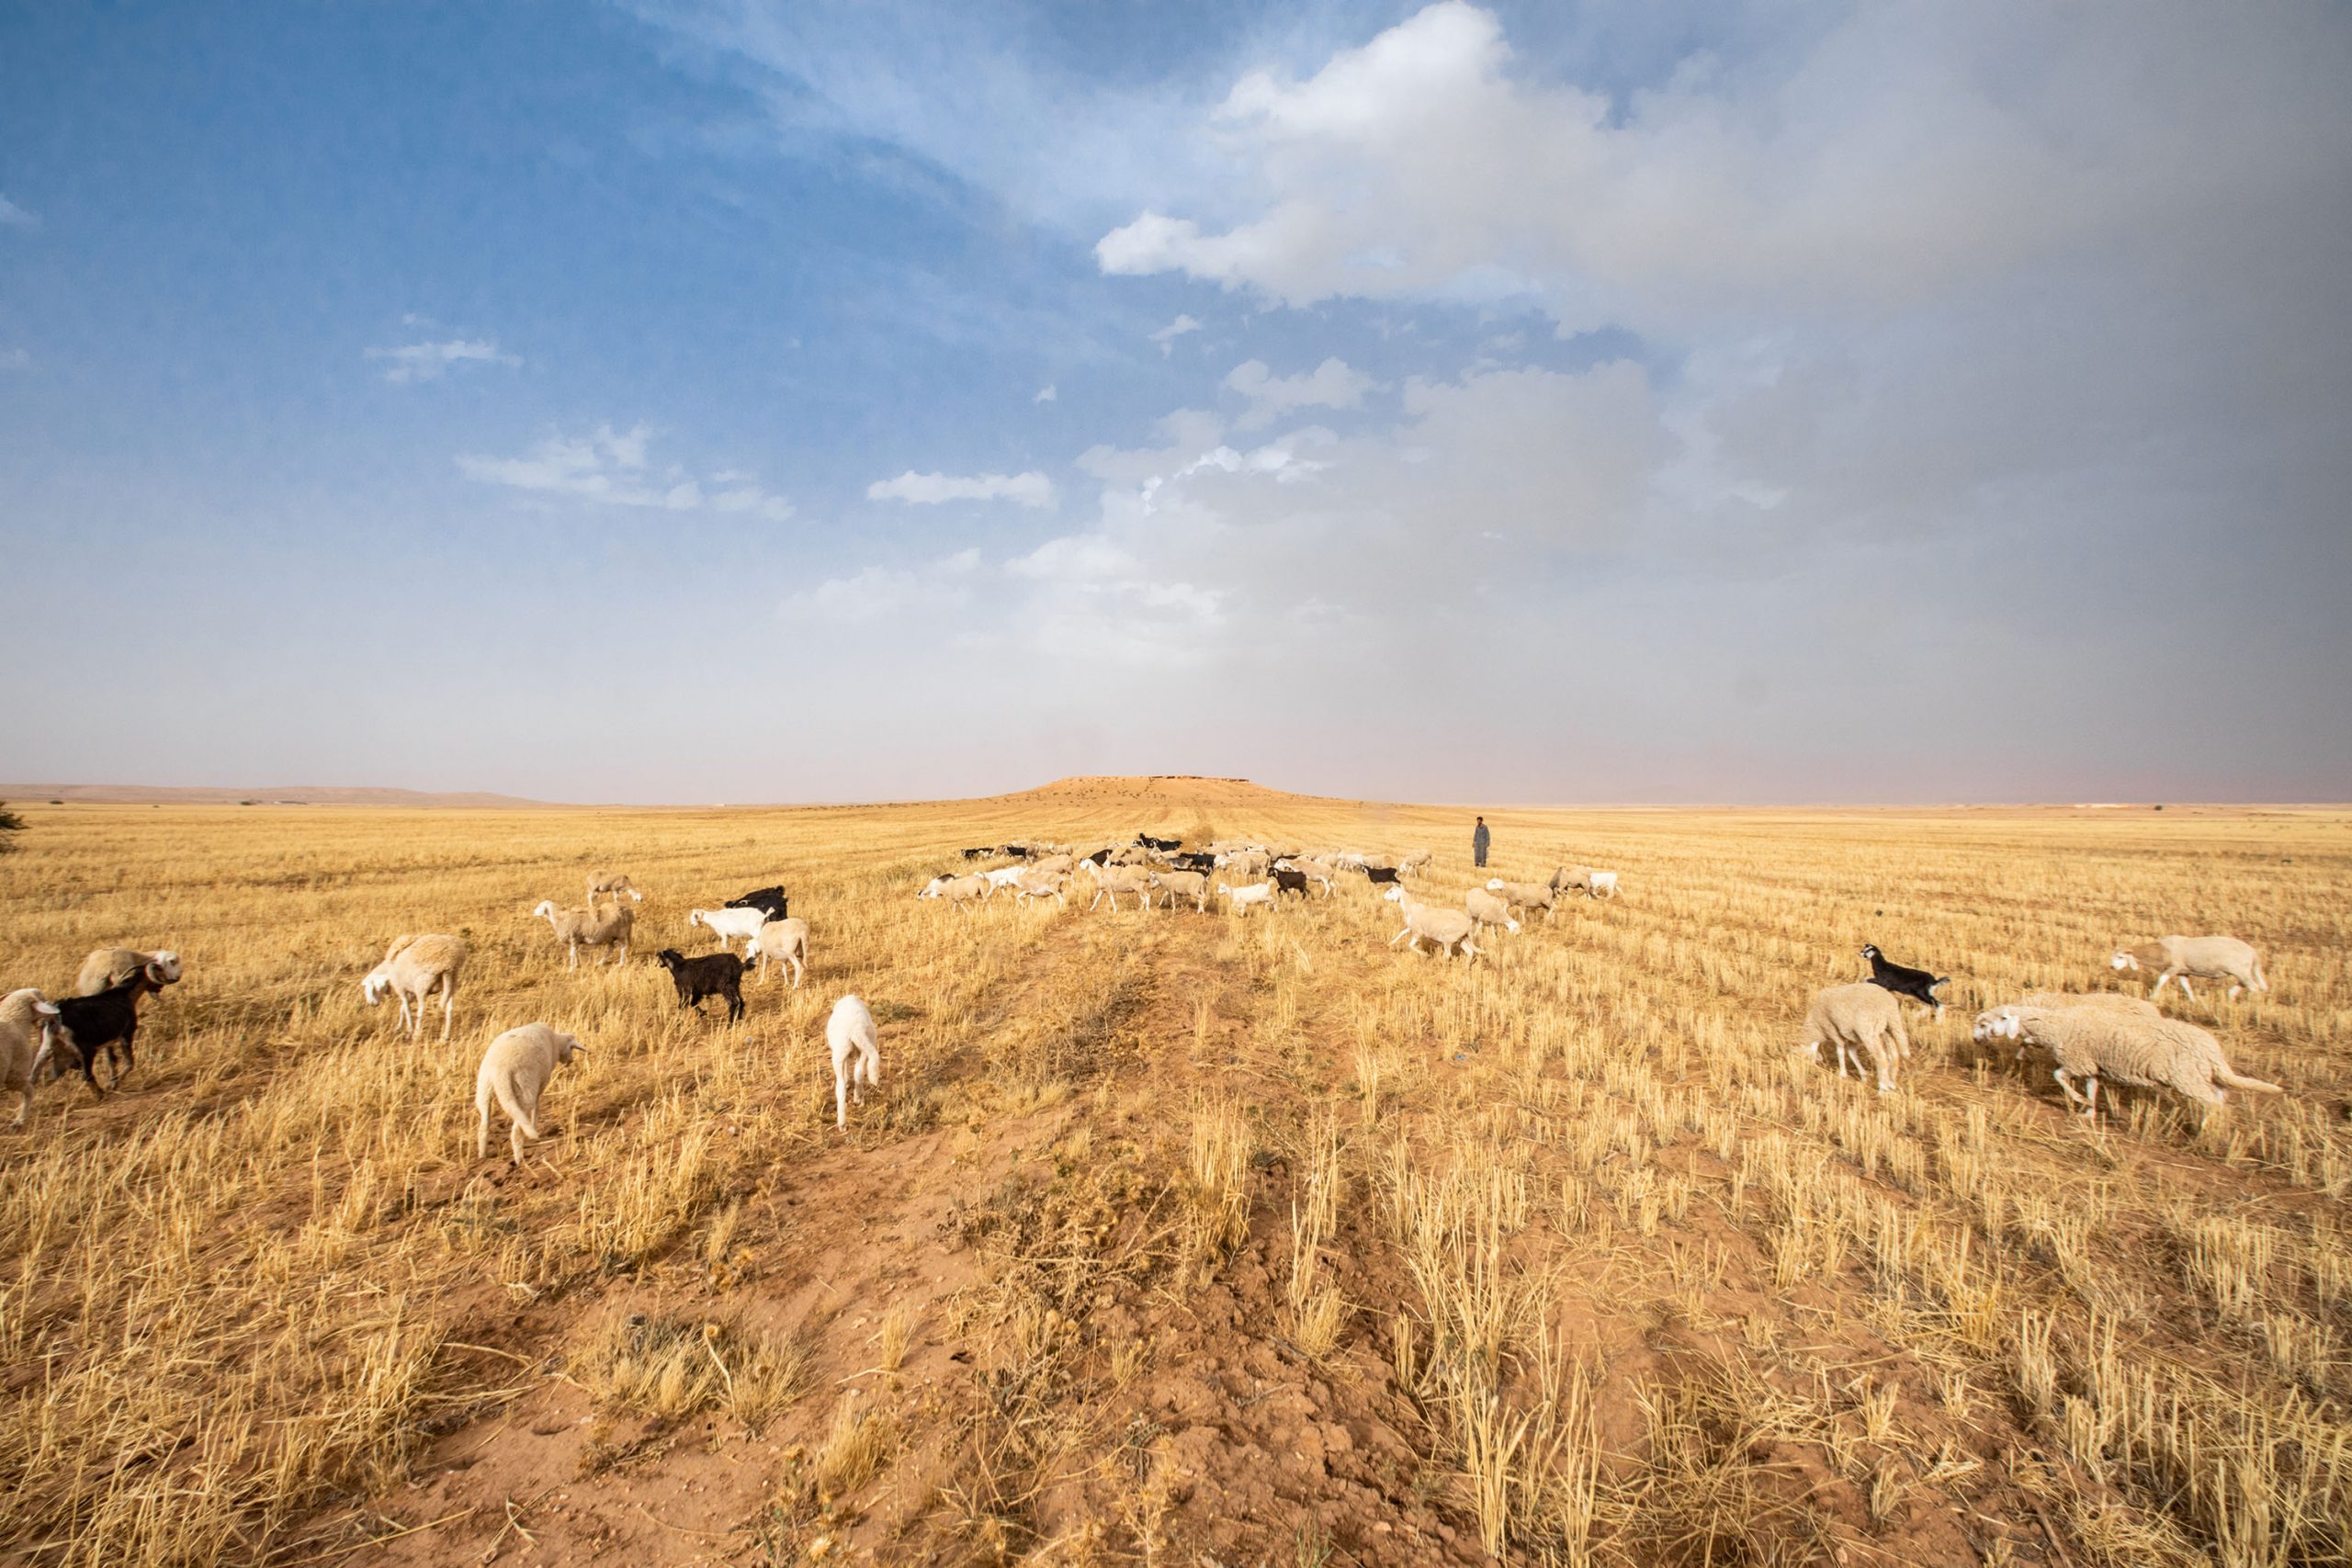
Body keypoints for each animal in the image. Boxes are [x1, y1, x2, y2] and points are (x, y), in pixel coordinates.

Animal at [1, 991, 62, 1128]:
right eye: (43, 998)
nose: (57, 1016)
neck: (12, 1019)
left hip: (13, 1075)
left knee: (29, 1090)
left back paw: (19, 1120)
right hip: (14, 1074)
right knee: (29, 1090)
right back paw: (20, 1119)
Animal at [465, 1024, 581, 1161]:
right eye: (572, 1048)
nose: (571, 1061)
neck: (556, 1043)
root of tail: (500, 1069)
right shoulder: (541, 1083)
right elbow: (537, 1107)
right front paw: (535, 1127)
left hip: (484, 1089)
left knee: (483, 1126)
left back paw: (482, 1155)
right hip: (525, 1087)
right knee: (517, 1128)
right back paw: (519, 1159)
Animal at [828, 991, 884, 1128]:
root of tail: (855, 1029)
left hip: (839, 1053)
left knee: (841, 1086)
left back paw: (842, 1122)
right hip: (863, 1047)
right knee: (858, 1073)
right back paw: (858, 1099)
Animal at [1975, 1006, 2286, 1114]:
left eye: (1995, 1020)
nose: (1978, 1039)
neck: (2059, 1022)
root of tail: (2211, 1049)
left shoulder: (2078, 1061)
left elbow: (2059, 1077)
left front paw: (2080, 1102)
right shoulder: (2092, 1067)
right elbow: (2092, 1088)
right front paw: (2089, 1110)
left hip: (2187, 1077)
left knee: (2212, 1100)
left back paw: (2211, 1127)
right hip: (2200, 1074)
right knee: (2220, 1093)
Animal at [2117, 931, 2257, 1006]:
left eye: (2120, 957)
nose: (2113, 966)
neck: (2162, 950)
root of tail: (2252, 951)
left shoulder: (2174, 967)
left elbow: (2161, 979)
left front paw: (2152, 998)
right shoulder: (2182, 972)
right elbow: (2186, 987)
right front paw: (2193, 1001)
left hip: (2241, 971)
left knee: (2253, 987)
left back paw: (2249, 1004)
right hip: (2241, 972)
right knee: (2244, 985)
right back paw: (2229, 999)